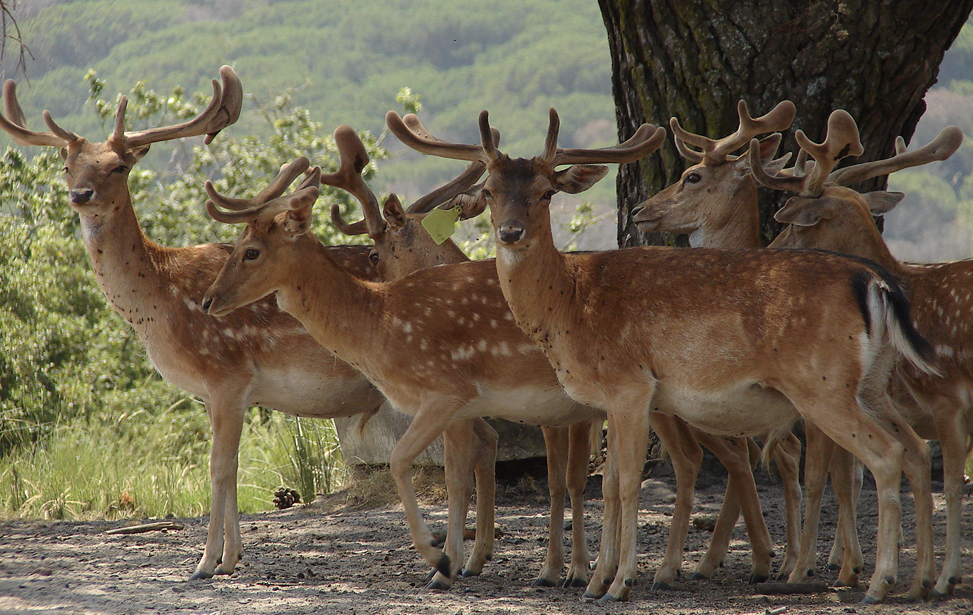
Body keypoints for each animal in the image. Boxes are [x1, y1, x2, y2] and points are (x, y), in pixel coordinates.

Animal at [390, 106, 940, 600]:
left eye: (547, 192)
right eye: (489, 190)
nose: (510, 233)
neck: (571, 306)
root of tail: (874, 283)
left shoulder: (630, 385)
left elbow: (628, 482)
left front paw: (618, 583)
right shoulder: (609, 400)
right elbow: (608, 484)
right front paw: (595, 581)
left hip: (822, 387)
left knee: (881, 456)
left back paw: (871, 581)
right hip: (872, 386)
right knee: (914, 449)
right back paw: (922, 581)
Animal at [756, 119, 968, 596]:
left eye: (796, 226)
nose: (766, 255)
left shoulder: (945, 398)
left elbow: (947, 483)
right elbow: (875, 474)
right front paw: (913, 578)